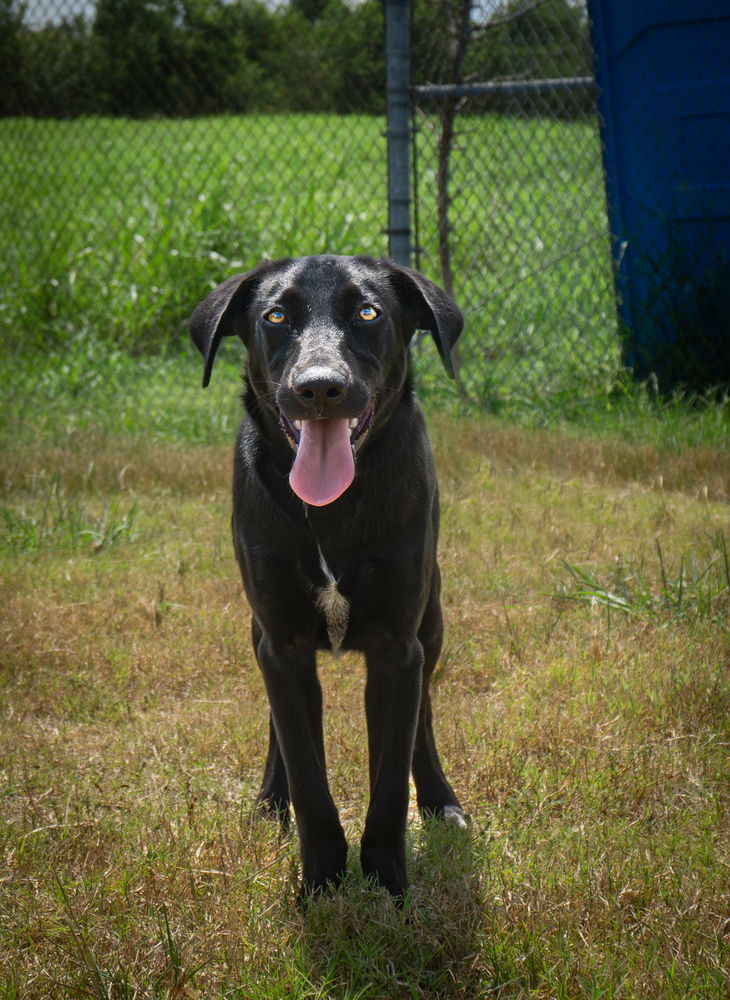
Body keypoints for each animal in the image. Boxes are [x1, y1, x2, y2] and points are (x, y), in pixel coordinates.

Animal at [191, 256, 466, 900]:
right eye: (275, 316)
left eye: (367, 312)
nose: (319, 388)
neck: (329, 509)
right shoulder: (283, 644)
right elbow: (307, 774)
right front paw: (321, 883)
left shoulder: (398, 647)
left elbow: (390, 780)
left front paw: (388, 885)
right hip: (259, 632)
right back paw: (271, 801)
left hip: (433, 621)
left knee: (423, 719)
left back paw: (440, 800)